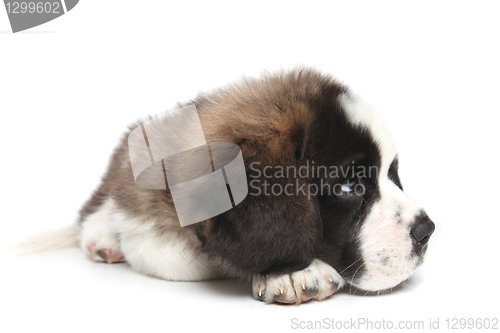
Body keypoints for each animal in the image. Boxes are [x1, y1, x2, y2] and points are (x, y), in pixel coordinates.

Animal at [12, 67, 434, 304]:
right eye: (349, 187)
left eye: (392, 174)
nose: (427, 231)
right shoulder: (150, 228)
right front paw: (291, 270)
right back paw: (102, 235)